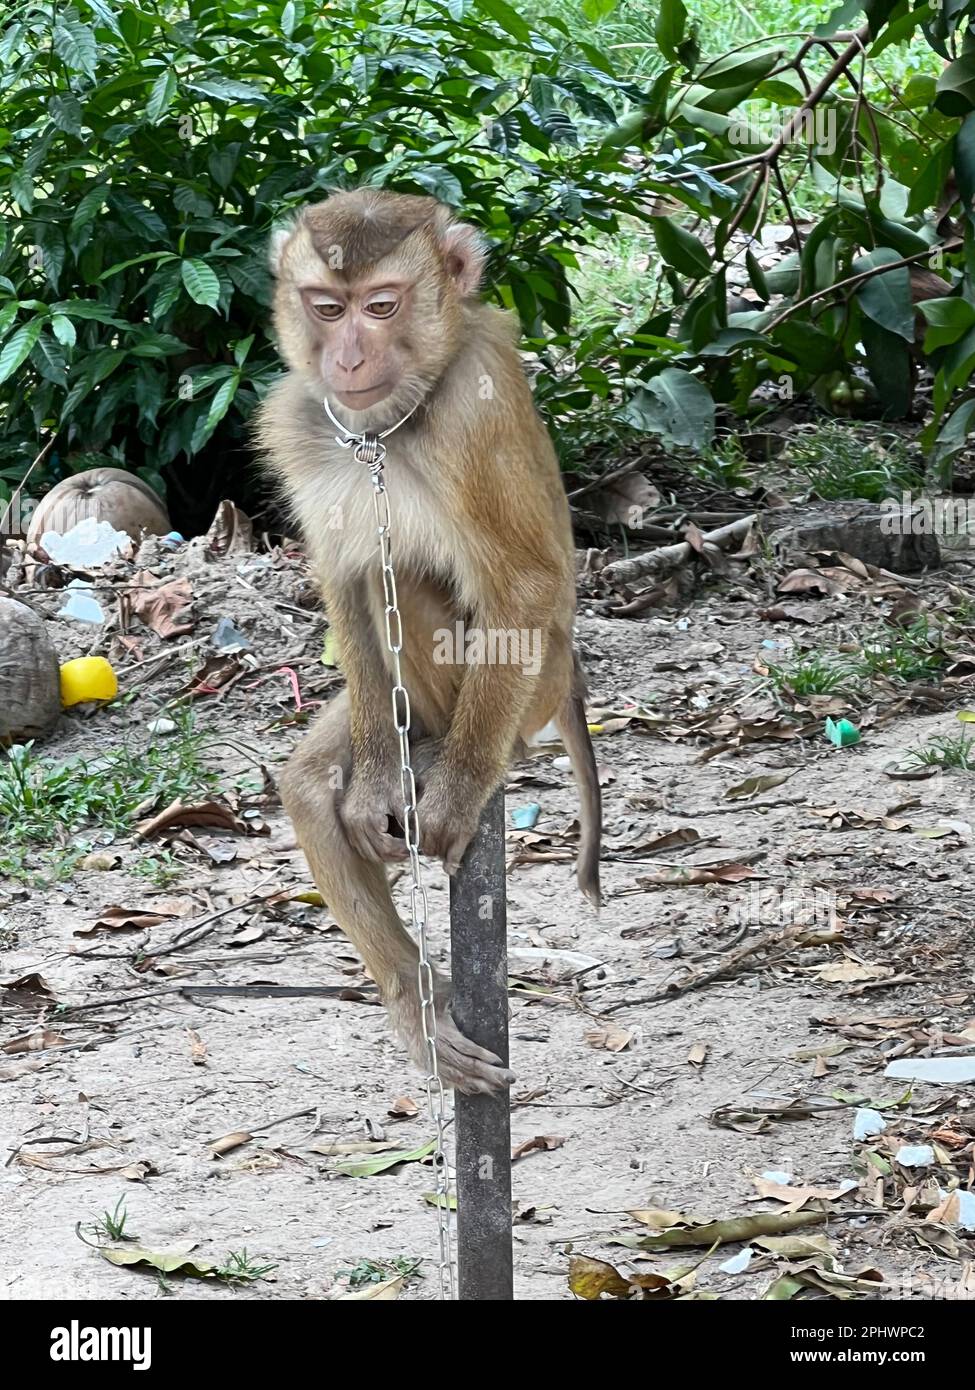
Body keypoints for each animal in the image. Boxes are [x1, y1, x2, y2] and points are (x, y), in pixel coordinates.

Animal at [254, 187, 598, 1095]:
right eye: (326, 307)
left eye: (382, 306)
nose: (344, 358)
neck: (386, 426)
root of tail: (570, 673)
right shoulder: (298, 419)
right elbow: (342, 577)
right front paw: (376, 776)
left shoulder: (471, 414)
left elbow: (520, 586)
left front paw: (457, 792)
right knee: (312, 782)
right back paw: (418, 1000)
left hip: (534, 684)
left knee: (411, 583)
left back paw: (463, 753)